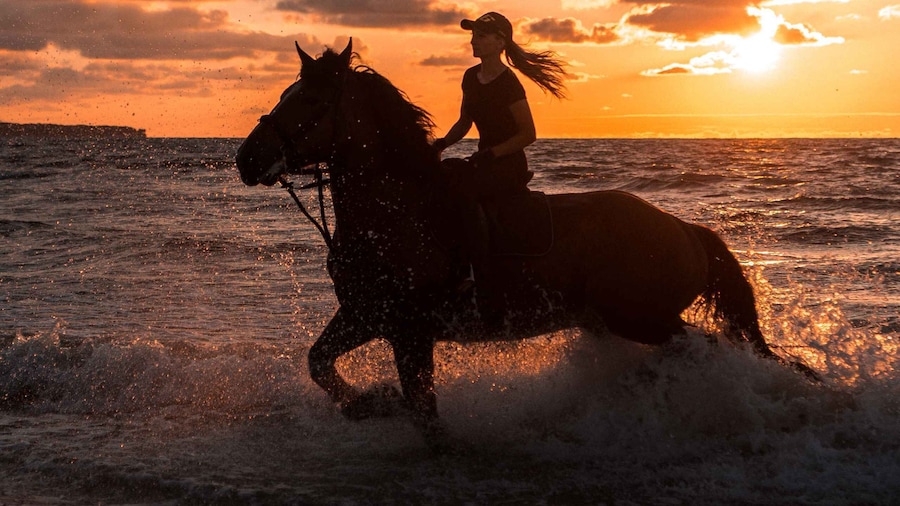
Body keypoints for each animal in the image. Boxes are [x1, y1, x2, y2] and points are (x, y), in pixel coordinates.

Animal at [236, 40, 813, 444]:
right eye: (285, 94)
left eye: (310, 99)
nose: (246, 158)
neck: (395, 213)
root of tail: (684, 228)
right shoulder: (366, 314)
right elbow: (318, 363)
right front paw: (367, 404)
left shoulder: (409, 330)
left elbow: (425, 415)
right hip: (616, 321)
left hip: (642, 318)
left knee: (708, 349)